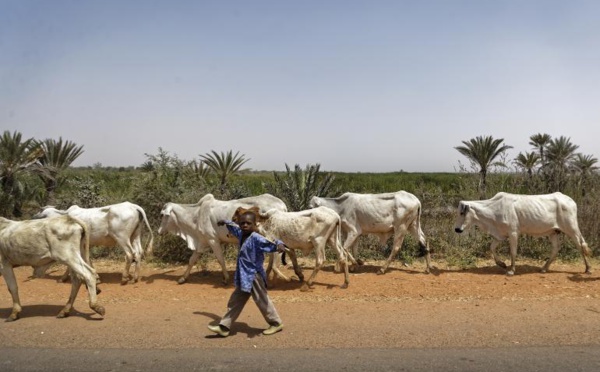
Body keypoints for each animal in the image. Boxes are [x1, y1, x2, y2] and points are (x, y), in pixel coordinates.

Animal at [158, 193, 290, 284]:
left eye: (162, 215)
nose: (159, 231)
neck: (196, 215)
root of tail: (282, 205)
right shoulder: (202, 242)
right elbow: (192, 260)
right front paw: (183, 278)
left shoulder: (213, 240)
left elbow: (221, 259)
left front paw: (226, 278)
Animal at [454, 192, 592, 276]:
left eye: (461, 213)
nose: (457, 229)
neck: (493, 210)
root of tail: (570, 200)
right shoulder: (500, 235)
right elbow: (491, 248)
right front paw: (502, 264)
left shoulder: (513, 232)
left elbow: (513, 252)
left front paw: (511, 270)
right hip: (553, 232)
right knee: (556, 249)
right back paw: (544, 268)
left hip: (572, 229)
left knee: (581, 245)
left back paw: (588, 268)